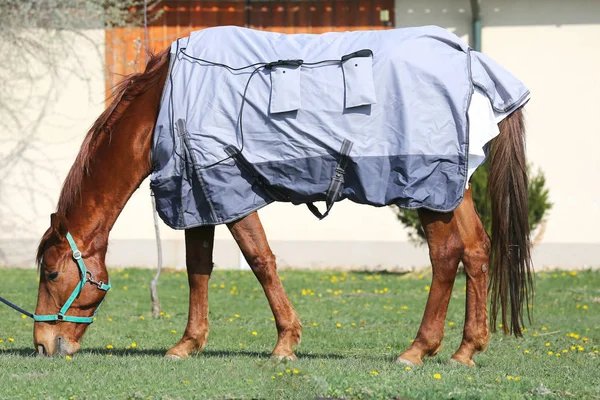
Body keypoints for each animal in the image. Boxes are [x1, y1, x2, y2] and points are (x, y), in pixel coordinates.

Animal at [32, 36, 532, 366]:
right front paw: (188, 343)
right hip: (453, 189)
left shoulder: (226, 187)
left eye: (52, 273)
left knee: (446, 255)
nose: (42, 343)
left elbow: (260, 261)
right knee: (476, 250)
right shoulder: (199, 191)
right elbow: (198, 268)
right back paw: (465, 350)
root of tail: (471, 62)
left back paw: (417, 349)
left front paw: (285, 343)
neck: (166, 102)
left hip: (428, 188)